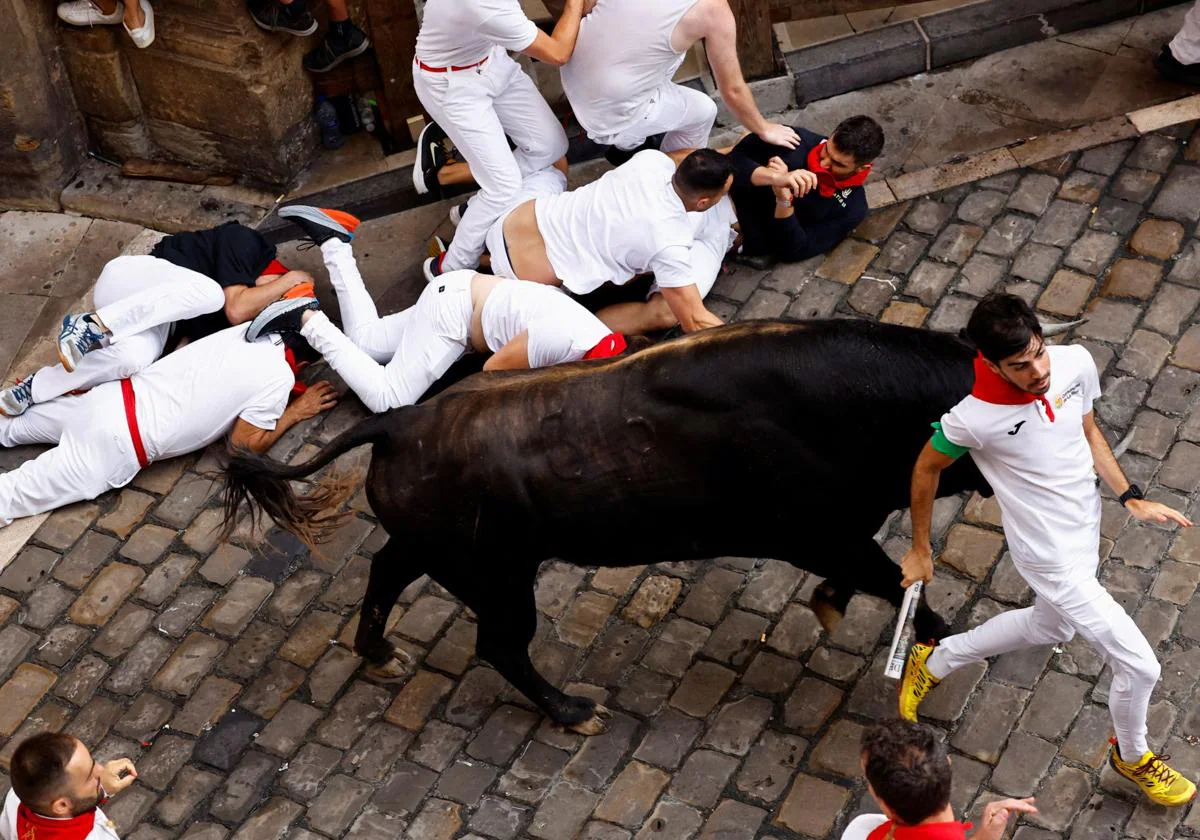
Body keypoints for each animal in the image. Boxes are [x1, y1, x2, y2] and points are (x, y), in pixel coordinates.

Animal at [220, 319, 988, 729]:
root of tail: (397, 422)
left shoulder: (837, 539)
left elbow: (881, 584)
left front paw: (832, 607)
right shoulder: (825, 535)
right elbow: (909, 595)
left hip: (436, 548)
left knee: (384, 572)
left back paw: (380, 654)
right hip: (498, 577)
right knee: (499, 644)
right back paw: (572, 711)